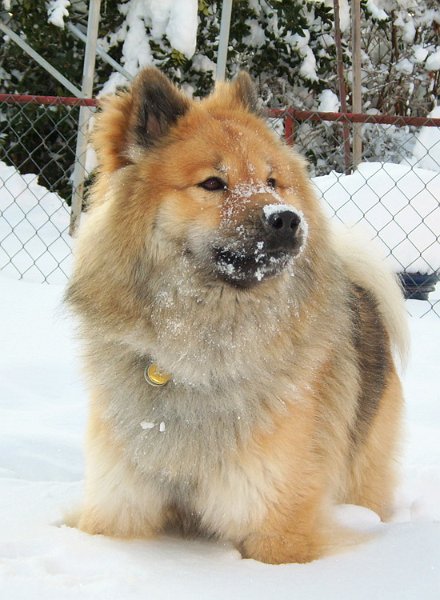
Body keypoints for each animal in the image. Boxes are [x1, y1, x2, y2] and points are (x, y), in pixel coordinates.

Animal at [66, 68, 410, 564]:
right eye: (213, 183)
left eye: (272, 180)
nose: (287, 219)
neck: (197, 354)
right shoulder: (119, 507)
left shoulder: (277, 528)